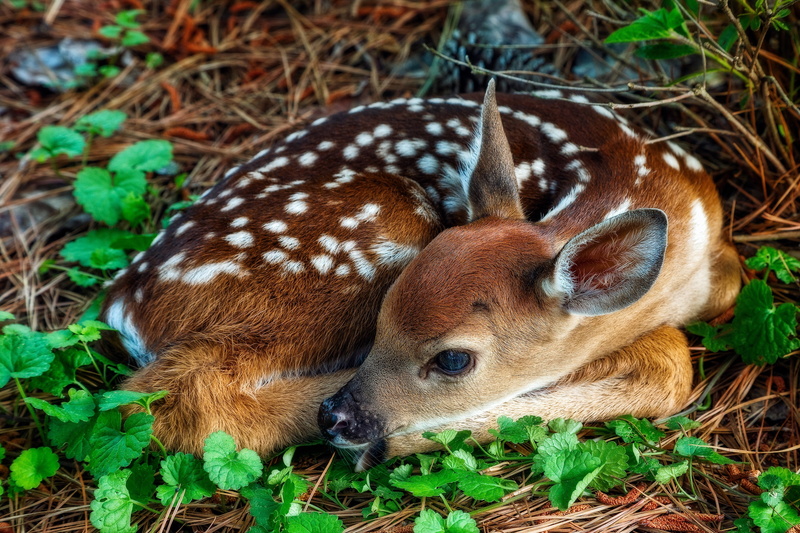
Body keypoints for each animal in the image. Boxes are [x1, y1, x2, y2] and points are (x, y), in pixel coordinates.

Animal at [101, 81, 740, 470]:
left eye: (453, 359)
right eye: (382, 320)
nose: (335, 417)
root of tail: (122, 304)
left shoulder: (721, 268)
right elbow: (668, 363)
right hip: (368, 232)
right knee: (184, 398)